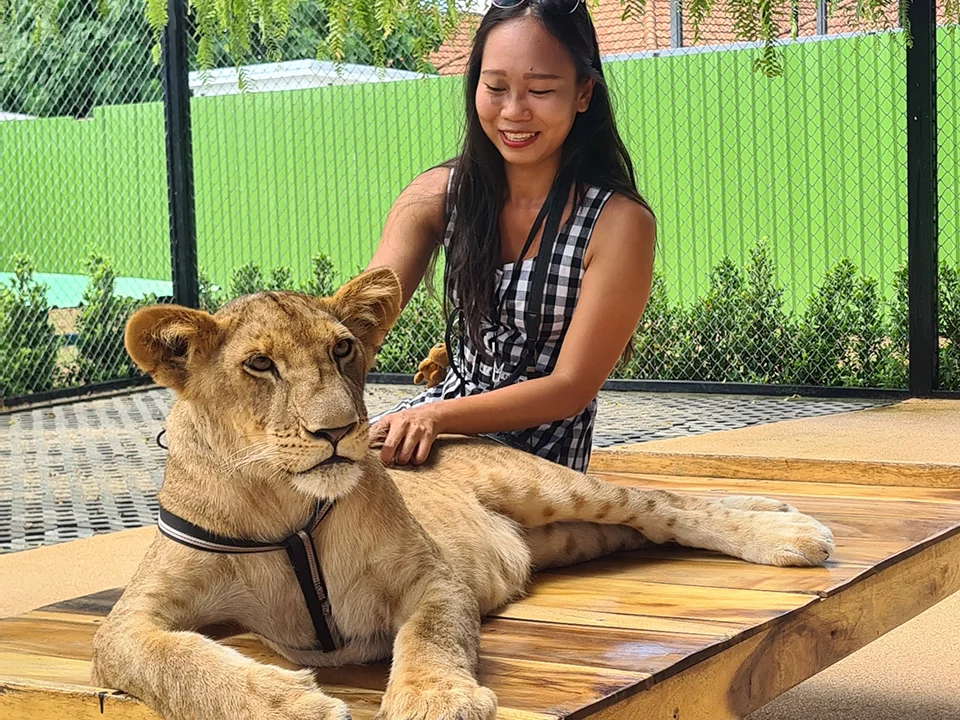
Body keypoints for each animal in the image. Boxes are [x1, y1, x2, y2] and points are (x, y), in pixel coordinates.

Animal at [90, 266, 835, 720]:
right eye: (259, 365)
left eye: (342, 350)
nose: (340, 430)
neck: (282, 503)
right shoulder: (131, 617)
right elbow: (171, 658)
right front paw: (285, 703)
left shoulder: (432, 577)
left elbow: (430, 637)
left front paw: (435, 700)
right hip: (569, 535)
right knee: (645, 526)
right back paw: (776, 510)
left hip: (545, 487)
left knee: (660, 503)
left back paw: (788, 529)